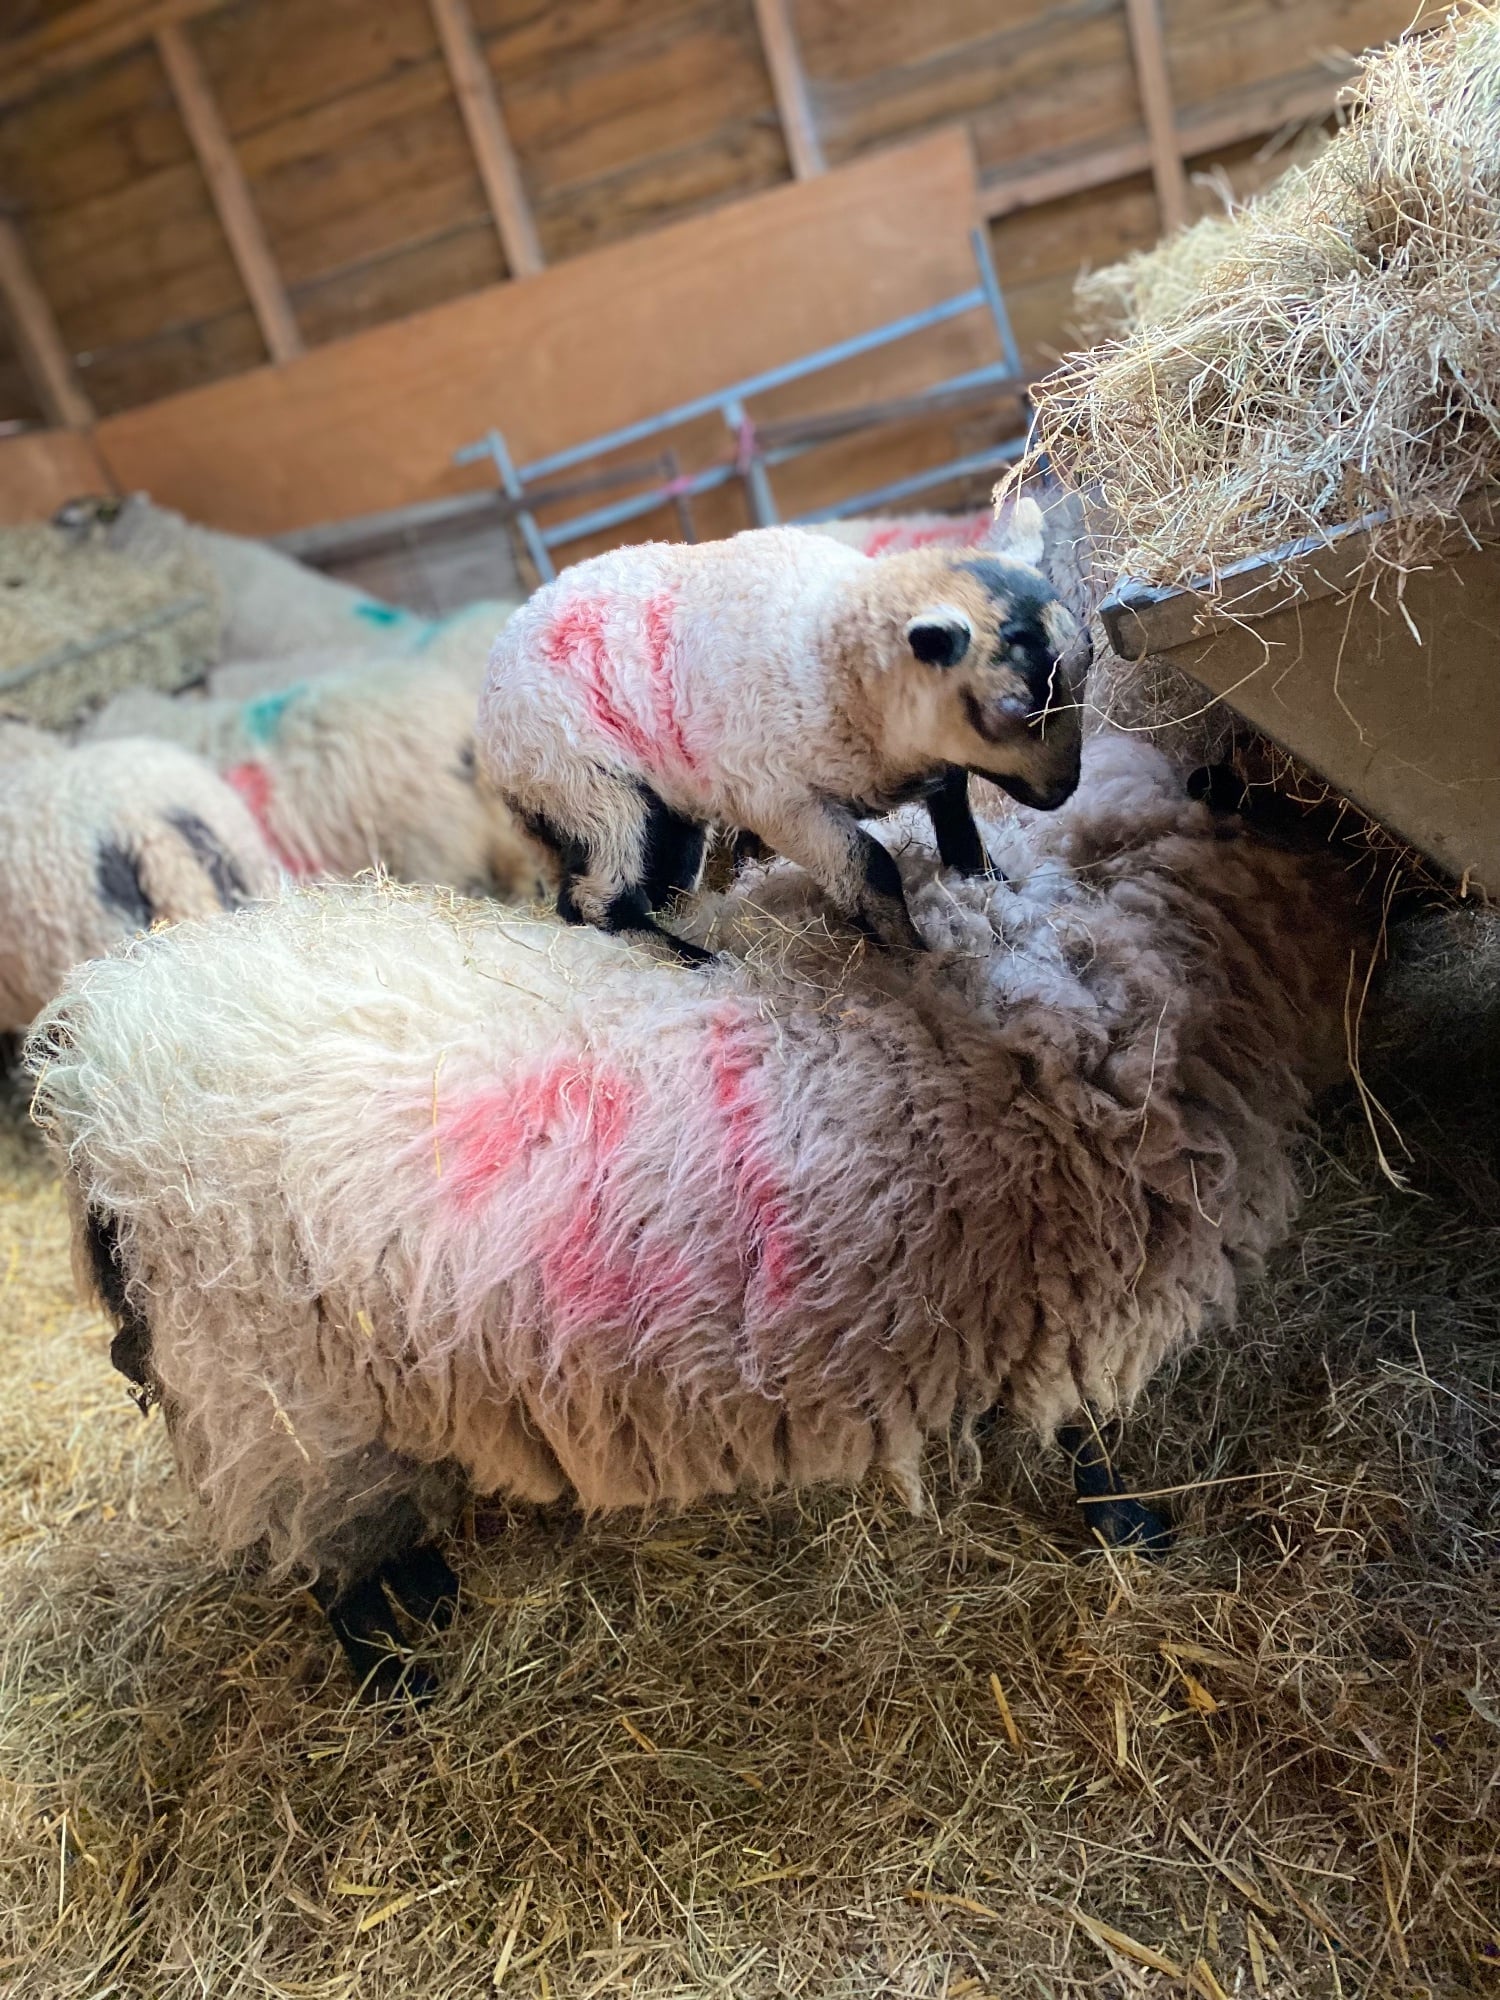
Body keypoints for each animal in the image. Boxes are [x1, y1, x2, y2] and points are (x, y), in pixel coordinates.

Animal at [29, 732, 1362, 1697]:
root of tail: (96, 1065)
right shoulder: (1079, 1266)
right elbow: (1089, 1436)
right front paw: (1136, 1532)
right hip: (275, 1405)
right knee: (333, 1568)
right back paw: (402, 1672)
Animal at [479, 502, 1089, 960]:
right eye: (1013, 708)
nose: (1063, 792)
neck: (833, 659)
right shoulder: (779, 803)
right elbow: (870, 867)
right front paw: (911, 955)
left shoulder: (933, 760)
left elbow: (958, 818)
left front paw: (986, 882)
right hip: (590, 789)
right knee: (597, 900)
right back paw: (696, 960)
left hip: (657, 804)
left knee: (656, 879)